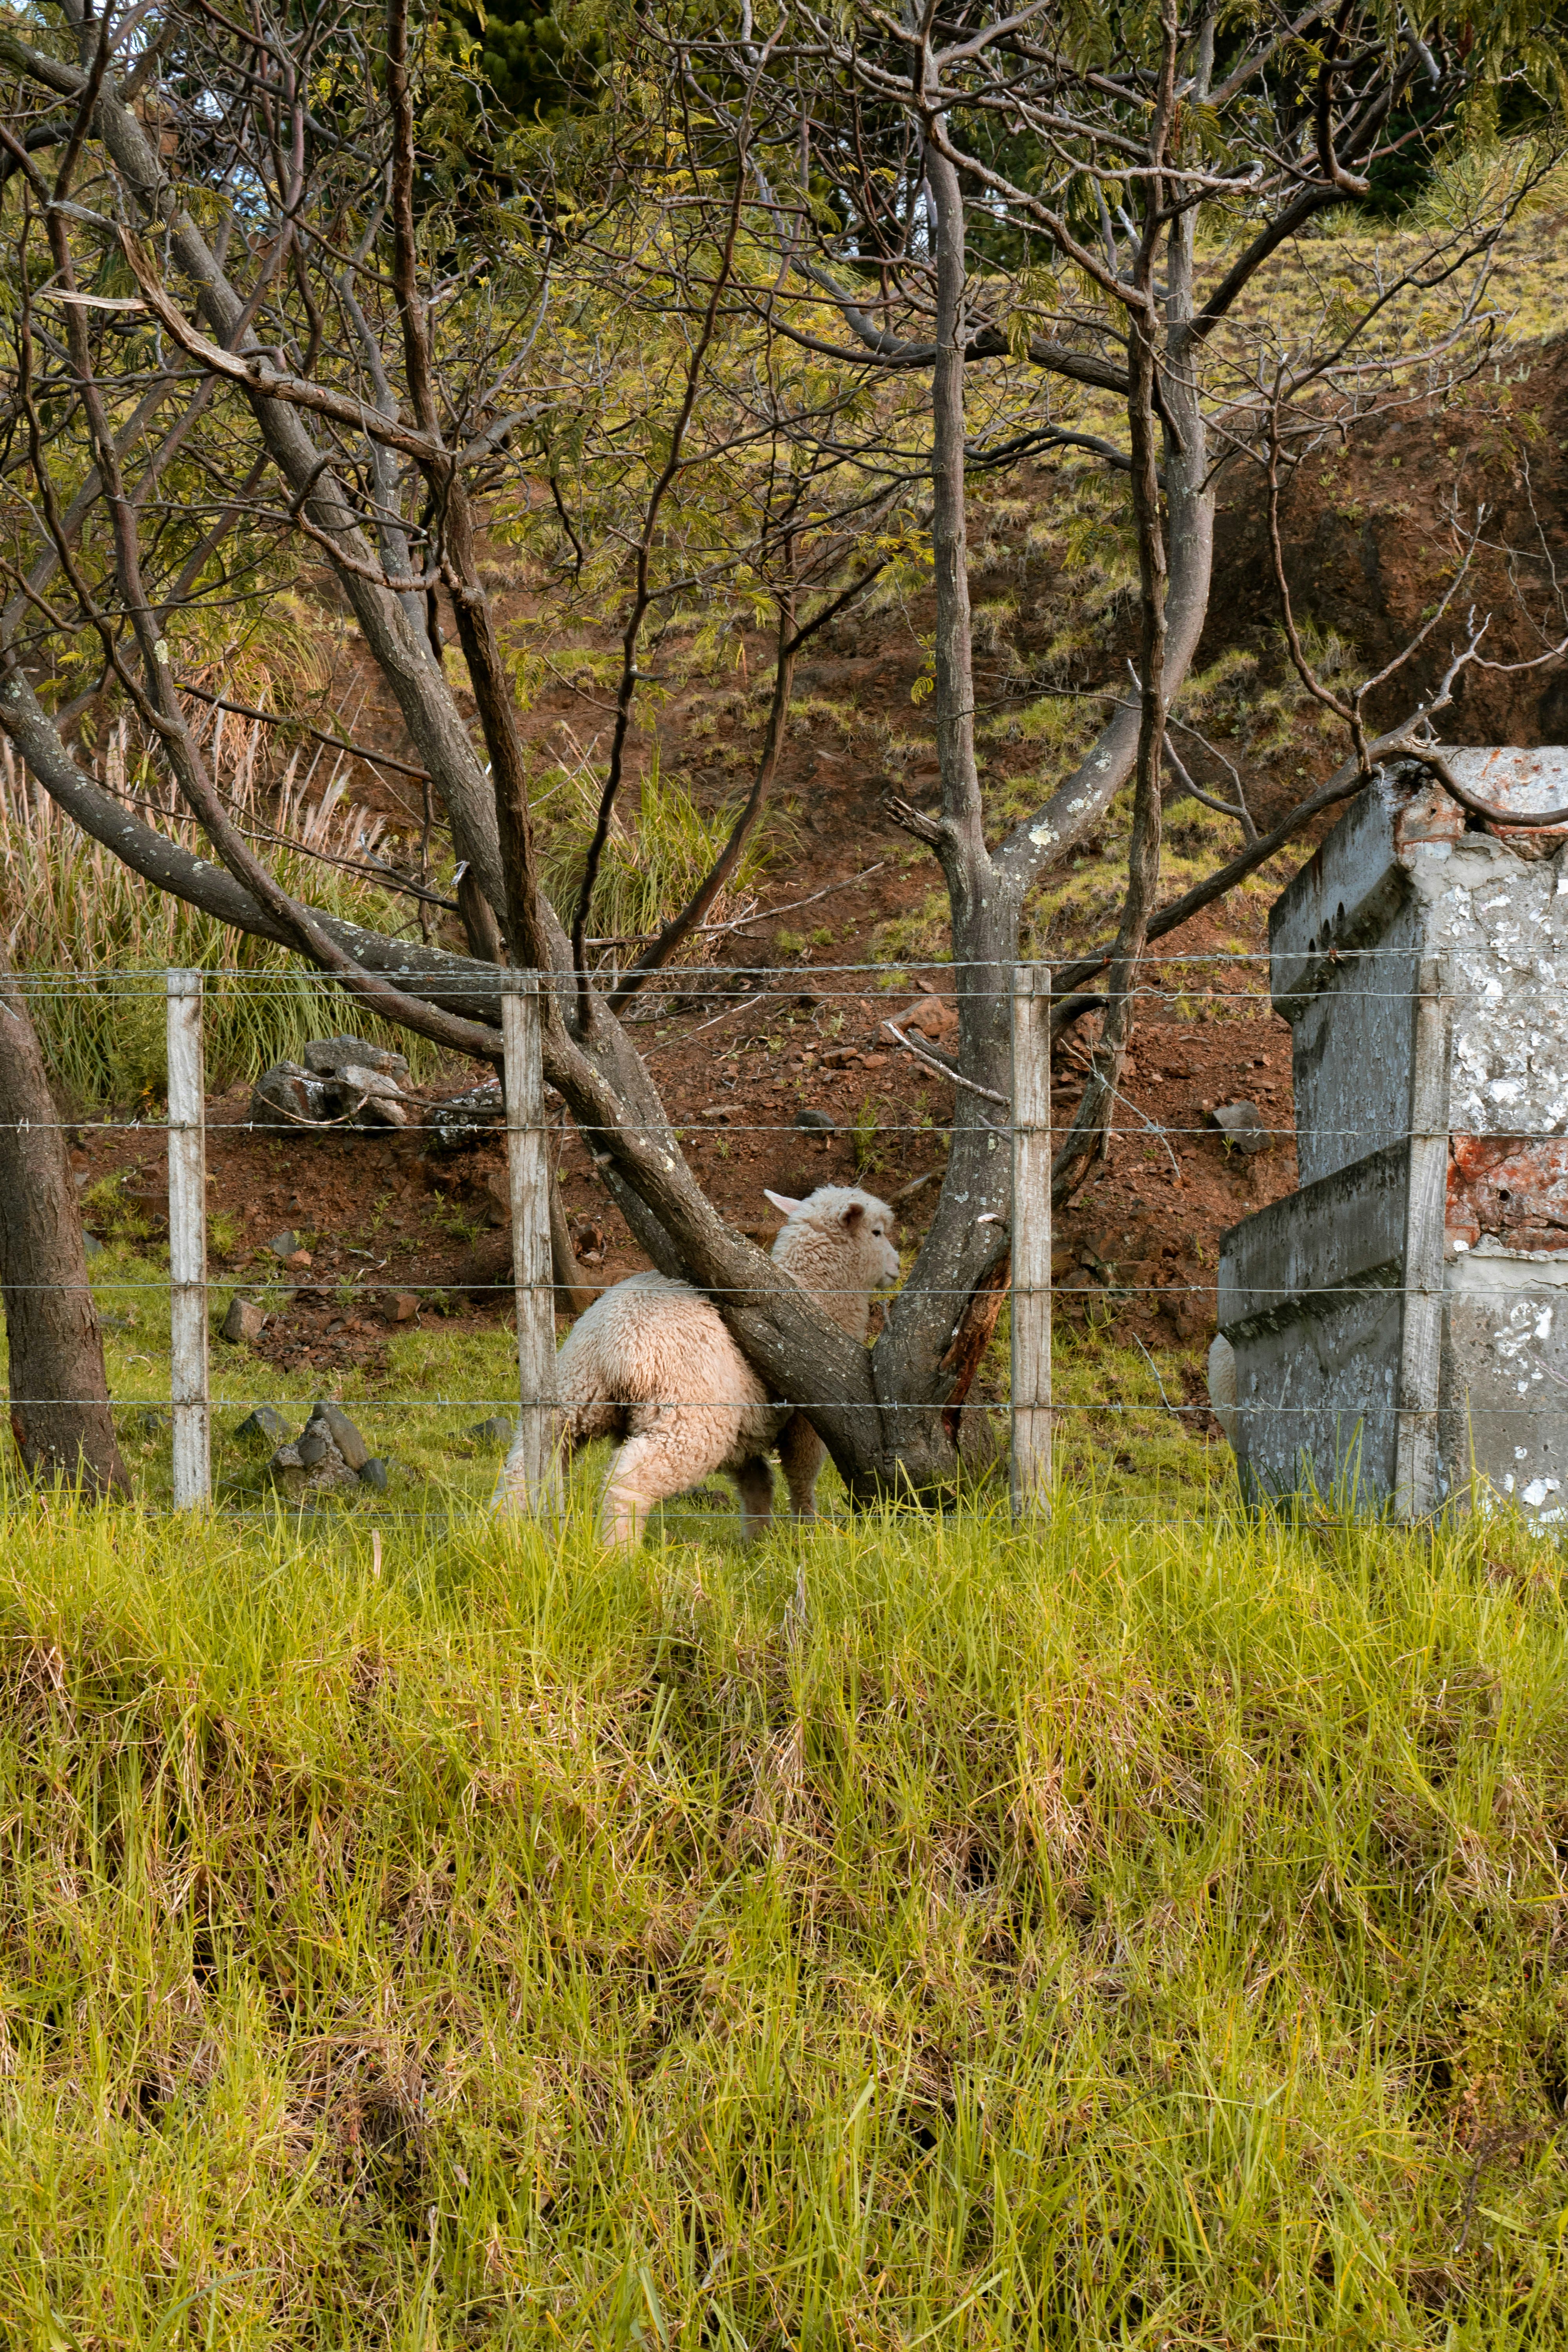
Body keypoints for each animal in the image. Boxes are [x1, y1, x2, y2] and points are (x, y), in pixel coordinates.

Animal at [502, 1185, 900, 1545]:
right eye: (877, 1233)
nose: (897, 1267)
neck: (816, 1294)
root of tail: (615, 1347)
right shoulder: (807, 1416)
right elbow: (802, 1475)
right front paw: (808, 1531)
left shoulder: (745, 1427)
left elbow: (758, 1482)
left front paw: (757, 1543)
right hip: (690, 1417)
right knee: (627, 1479)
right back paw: (618, 1553)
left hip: (571, 1395)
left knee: (525, 1466)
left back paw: (505, 1534)